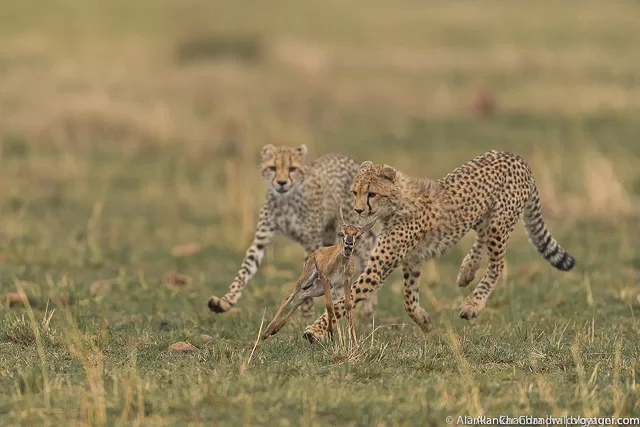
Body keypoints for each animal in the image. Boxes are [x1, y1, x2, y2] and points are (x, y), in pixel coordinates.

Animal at [207, 144, 379, 321]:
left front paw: (306, 316)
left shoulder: (311, 244)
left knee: (367, 252)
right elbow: (244, 271)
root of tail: (343, 156)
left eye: (292, 169)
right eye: (273, 168)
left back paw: (368, 303)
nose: (281, 183)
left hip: (351, 229)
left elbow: (309, 281)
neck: (286, 200)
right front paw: (225, 301)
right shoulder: (261, 239)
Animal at [302, 150, 576, 342]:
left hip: (500, 224)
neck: (396, 203)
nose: (358, 210)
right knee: (481, 239)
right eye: (354, 192)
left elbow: (343, 301)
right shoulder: (412, 261)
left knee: (497, 265)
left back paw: (473, 304)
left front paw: (315, 330)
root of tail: (517, 157)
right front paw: (424, 321)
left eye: (371, 194)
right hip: (483, 217)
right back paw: (467, 271)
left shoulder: (378, 268)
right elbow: (409, 299)